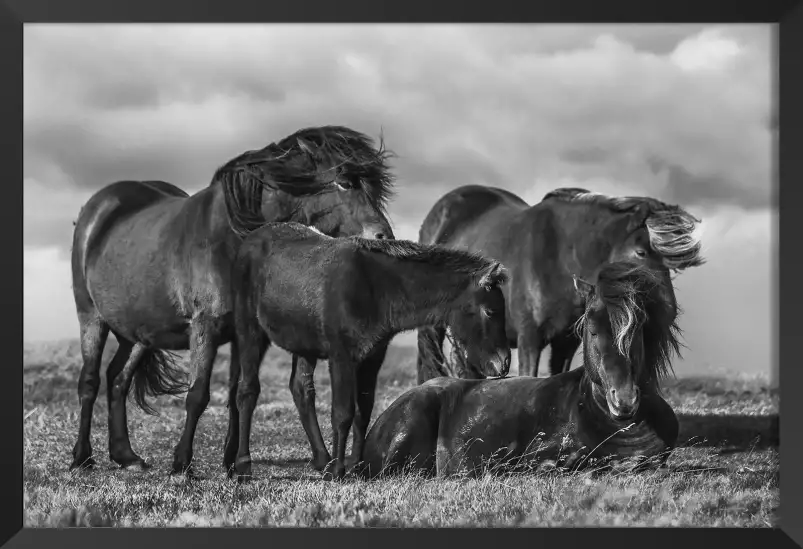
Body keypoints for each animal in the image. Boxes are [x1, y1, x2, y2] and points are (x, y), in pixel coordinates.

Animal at [69, 125, 396, 476]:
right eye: (345, 181)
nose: (384, 237)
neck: (232, 239)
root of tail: (97, 209)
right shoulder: (205, 328)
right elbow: (198, 394)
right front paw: (182, 463)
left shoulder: (247, 333)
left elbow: (241, 394)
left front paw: (233, 462)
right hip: (91, 318)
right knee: (89, 382)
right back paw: (82, 457)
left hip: (138, 334)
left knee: (118, 379)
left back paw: (125, 455)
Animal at [226, 222, 512, 480]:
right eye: (490, 311)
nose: (504, 363)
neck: (377, 289)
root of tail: (248, 239)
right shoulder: (341, 356)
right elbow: (342, 413)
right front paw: (339, 472)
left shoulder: (372, 357)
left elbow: (363, 412)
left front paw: (356, 467)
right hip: (249, 329)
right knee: (247, 390)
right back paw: (243, 465)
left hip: (303, 344)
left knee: (301, 389)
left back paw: (322, 460)